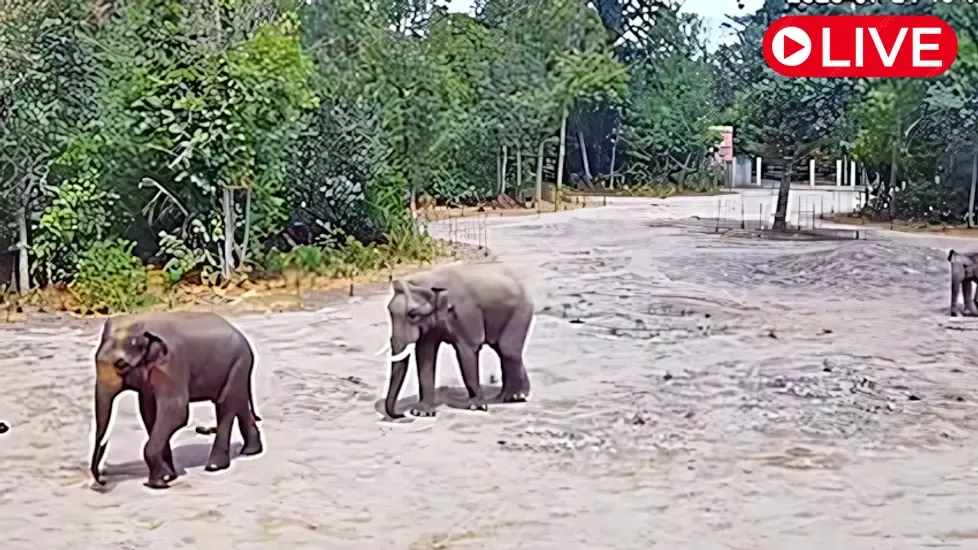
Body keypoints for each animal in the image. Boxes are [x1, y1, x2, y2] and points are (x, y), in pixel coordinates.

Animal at [90, 311, 264, 489]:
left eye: (121, 365)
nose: (102, 481)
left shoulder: (171, 365)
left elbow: (176, 412)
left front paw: (158, 483)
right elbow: (149, 412)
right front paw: (168, 476)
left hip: (239, 362)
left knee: (225, 405)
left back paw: (215, 466)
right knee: (238, 402)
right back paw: (250, 451)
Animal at [381, 263, 534, 419]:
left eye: (412, 315)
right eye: (389, 312)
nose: (401, 414)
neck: (430, 281)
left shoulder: (465, 313)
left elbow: (467, 351)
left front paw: (476, 406)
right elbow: (425, 353)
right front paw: (422, 412)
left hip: (521, 311)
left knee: (507, 349)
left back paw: (511, 397)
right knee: (501, 349)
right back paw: (518, 395)